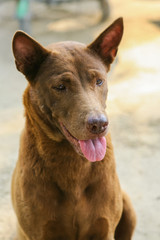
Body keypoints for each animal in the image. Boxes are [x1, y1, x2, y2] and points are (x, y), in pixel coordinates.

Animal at [11, 17, 136, 239]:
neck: (74, 165)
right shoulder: (40, 232)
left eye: (99, 81)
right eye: (60, 87)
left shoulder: (105, 229)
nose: (99, 124)